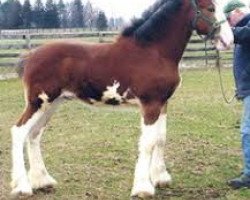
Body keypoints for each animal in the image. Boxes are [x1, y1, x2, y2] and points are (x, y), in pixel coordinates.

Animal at [11, 0, 234, 198]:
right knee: (19, 132)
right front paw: (143, 188)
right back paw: (23, 187)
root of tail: (30, 56)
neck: (153, 51)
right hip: (38, 102)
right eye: (211, 8)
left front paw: (160, 177)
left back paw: (42, 181)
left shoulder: (163, 103)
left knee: (34, 135)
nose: (228, 40)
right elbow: (148, 143)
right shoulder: (150, 104)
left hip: (51, 104)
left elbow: (160, 138)